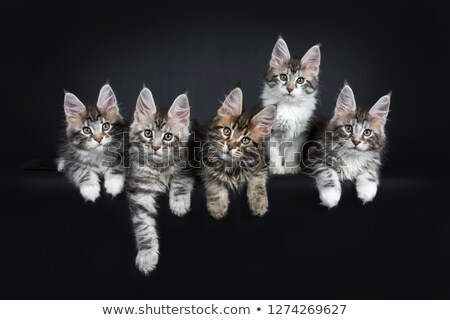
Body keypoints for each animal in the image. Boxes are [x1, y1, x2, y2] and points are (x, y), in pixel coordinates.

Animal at [126, 87, 193, 276]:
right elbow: (143, 227)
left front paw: (179, 203)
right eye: (148, 134)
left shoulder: (186, 167)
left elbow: (179, 180)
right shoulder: (139, 191)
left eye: (168, 137)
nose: (155, 147)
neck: (159, 168)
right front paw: (147, 255)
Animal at [200, 87, 278, 218]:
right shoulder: (205, 165)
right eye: (227, 131)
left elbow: (257, 181)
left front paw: (259, 204)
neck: (232, 166)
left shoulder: (262, 163)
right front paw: (217, 207)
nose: (230, 146)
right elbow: (214, 182)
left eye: (245, 140)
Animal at [262, 37, 322, 175]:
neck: (289, 106)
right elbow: (274, 152)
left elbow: (293, 152)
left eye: (300, 80)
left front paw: (290, 167)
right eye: (283, 77)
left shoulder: (301, 133)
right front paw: (276, 168)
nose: (289, 89)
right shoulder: (270, 132)